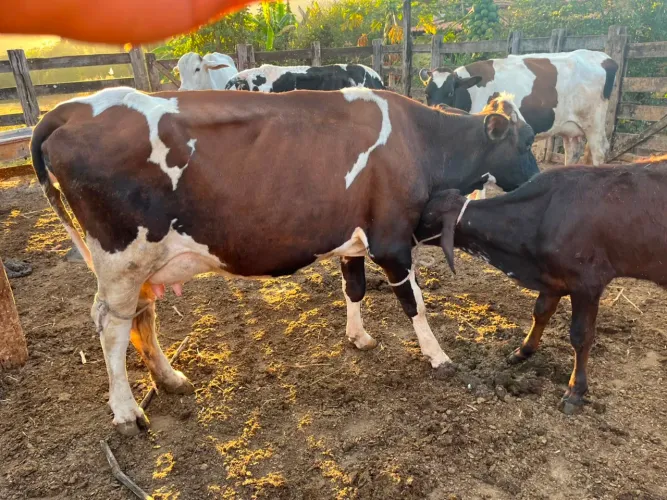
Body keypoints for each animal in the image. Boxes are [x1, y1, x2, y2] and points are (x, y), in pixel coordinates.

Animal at [30, 86, 536, 435]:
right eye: (525, 142)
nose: (535, 180)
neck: (422, 144)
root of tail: (74, 107)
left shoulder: (352, 240)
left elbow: (354, 288)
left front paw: (358, 337)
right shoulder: (392, 240)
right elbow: (416, 304)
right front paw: (438, 356)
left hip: (140, 263)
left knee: (142, 315)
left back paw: (170, 379)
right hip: (121, 256)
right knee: (111, 325)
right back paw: (125, 411)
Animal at [417, 156, 667, 414]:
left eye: (425, 217)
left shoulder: (587, 283)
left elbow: (581, 336)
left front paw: (576, 390)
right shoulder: (552, 279)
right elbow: (540, 313)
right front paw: (524, 350)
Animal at [419, 49, 619, 166]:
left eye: (450, 93)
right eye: (426, 93)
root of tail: (606, 58)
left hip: (594, 123)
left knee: (599, 151)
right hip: (570, 127)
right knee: (572, 152)